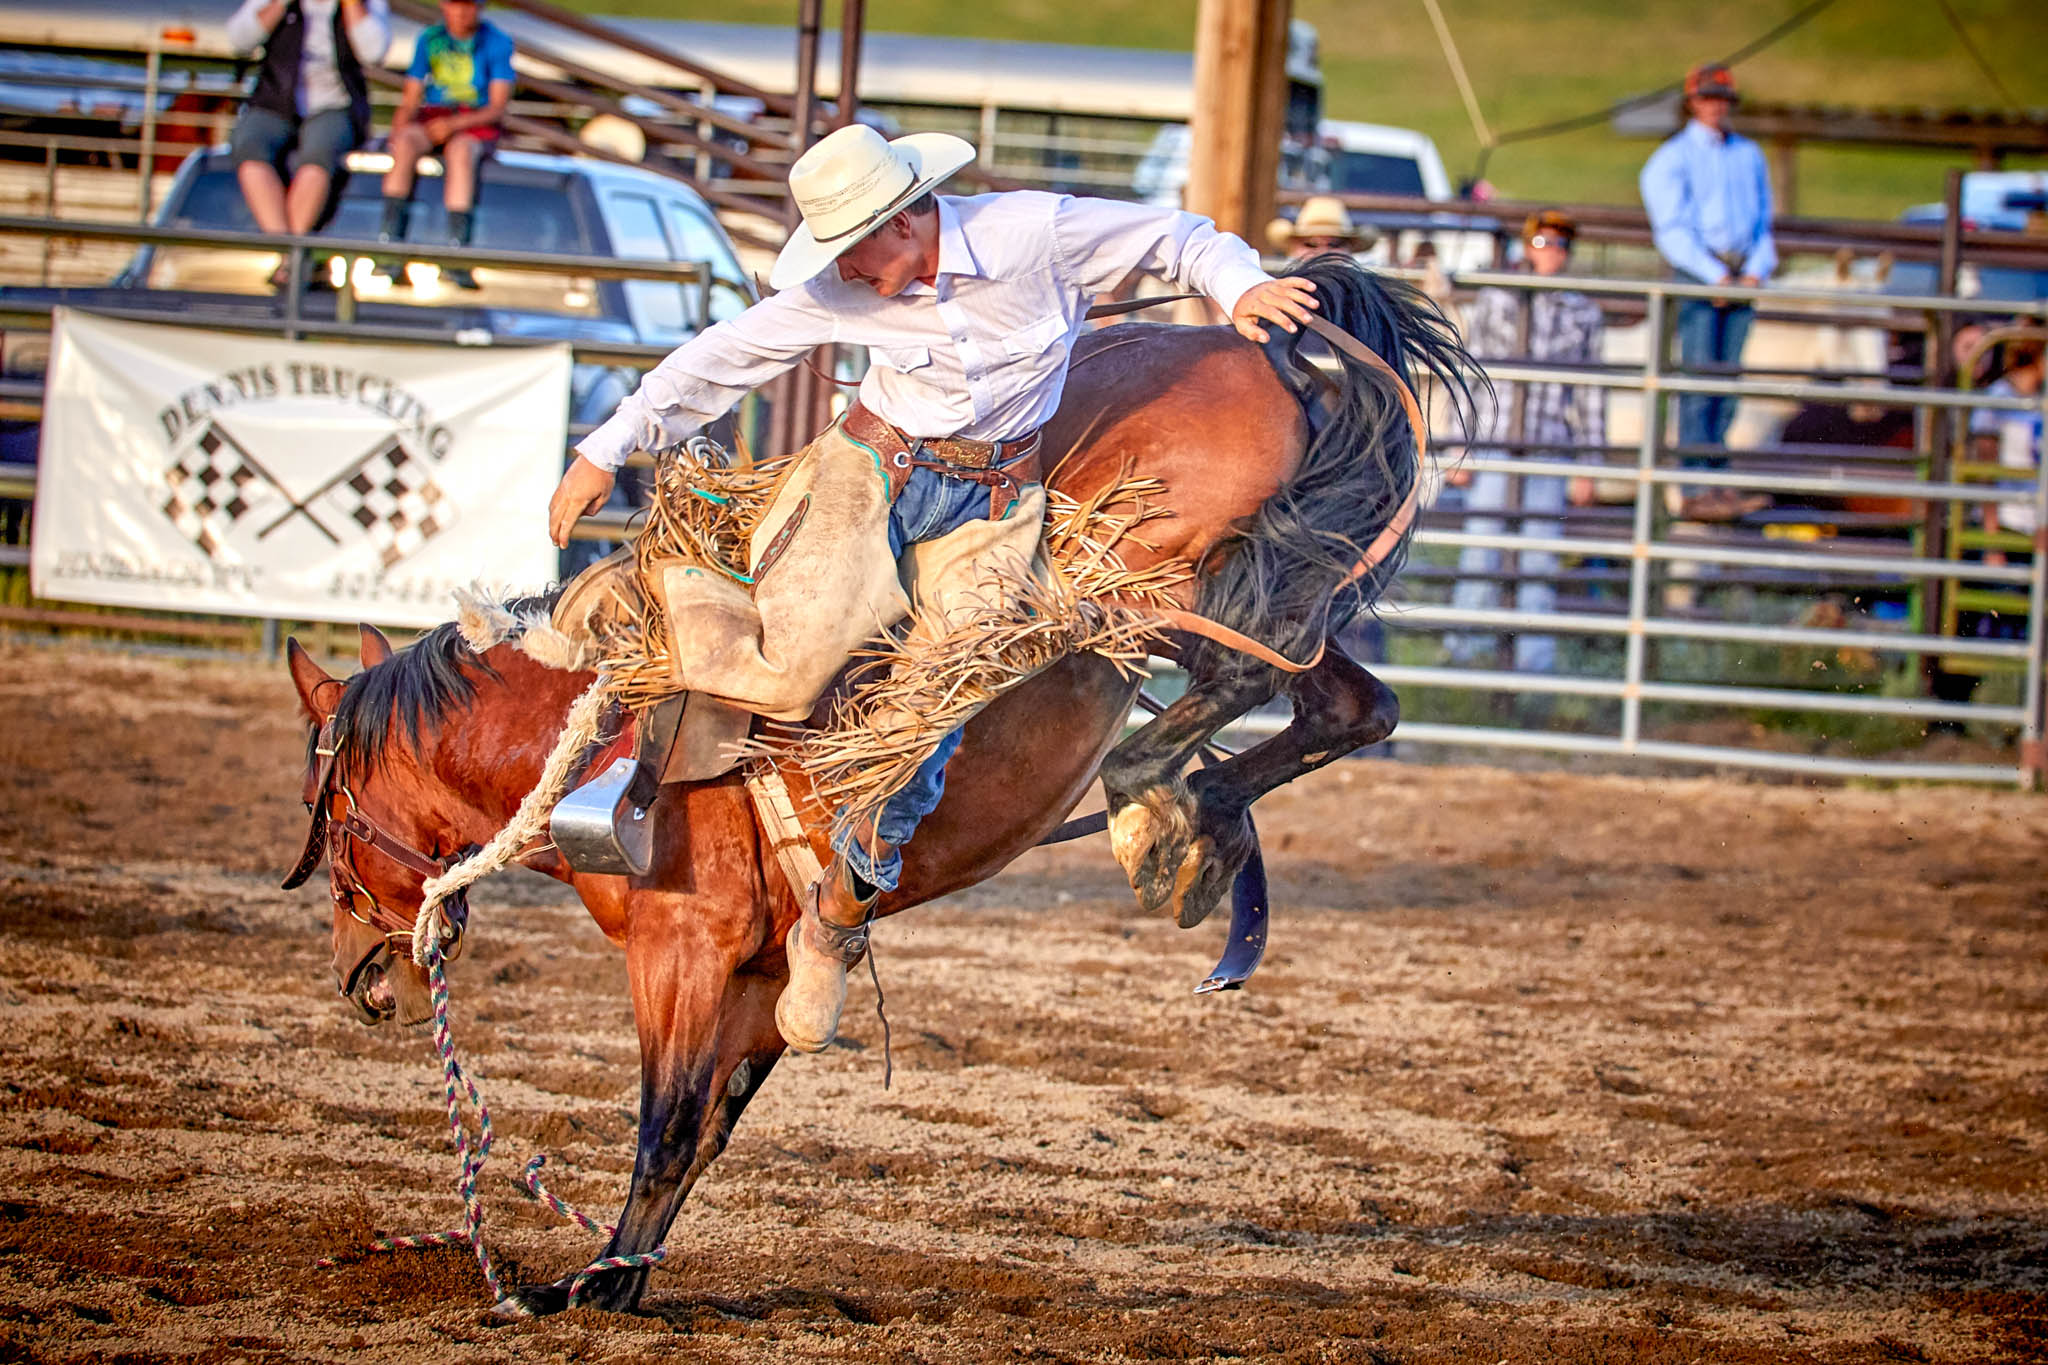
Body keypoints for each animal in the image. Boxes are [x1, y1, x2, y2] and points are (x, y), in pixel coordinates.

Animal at [284, 253, 1474, 1309]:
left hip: (1140, 571)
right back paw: (1193, 827)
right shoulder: (757, 974)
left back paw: (1148, 792)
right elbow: (705, 1130)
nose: (357, 977)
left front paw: (575, 1288)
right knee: (1345, 701)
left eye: (327, 820)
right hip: (1254, 573)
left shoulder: (681, 953)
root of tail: (1263, 343)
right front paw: (621, 1281)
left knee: (1235, 671)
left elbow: (665, 1123)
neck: (599, 731)